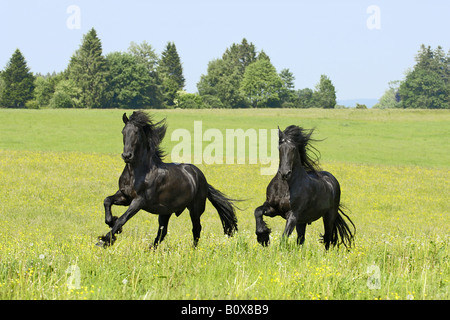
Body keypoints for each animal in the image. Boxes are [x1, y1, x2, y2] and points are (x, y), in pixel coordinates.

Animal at [97, 111, 239, 249]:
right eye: (123, 132)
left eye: (136, 132)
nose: (127, 155)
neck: (136, 173)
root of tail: (200, 177)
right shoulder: (125, 196)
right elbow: (107, 201)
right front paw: (111, 222)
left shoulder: (139, 201)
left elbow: (123, 218)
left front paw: (105, 240)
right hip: (165, 211)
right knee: (163, 231)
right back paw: (151, 249)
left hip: (195, 209)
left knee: (196, 229)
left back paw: (193, 250)